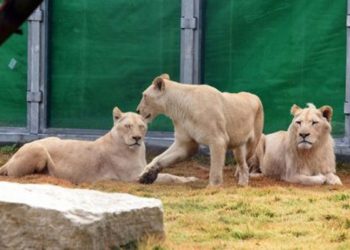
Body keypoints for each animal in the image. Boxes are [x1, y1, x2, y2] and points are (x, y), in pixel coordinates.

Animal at [0, 106, 197, 185]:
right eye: (127, 126)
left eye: (141, 126)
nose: (136, 138)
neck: (135, 150)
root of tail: (10, 159)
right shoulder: (132, 178)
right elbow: (169, 177)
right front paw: (189, 180)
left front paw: (190, 178)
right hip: (39, 150)